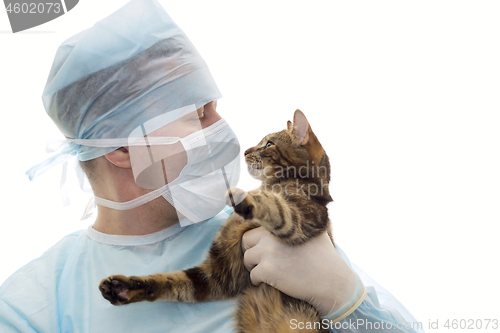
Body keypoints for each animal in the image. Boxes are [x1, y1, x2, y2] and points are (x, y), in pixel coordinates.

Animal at [98, 109, 332, 332]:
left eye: (269, 143)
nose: (246, 151)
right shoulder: (217, 274)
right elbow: (170, 280)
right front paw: (125, 287)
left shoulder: (304, 218)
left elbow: (277, 207)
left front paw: (248, 197)